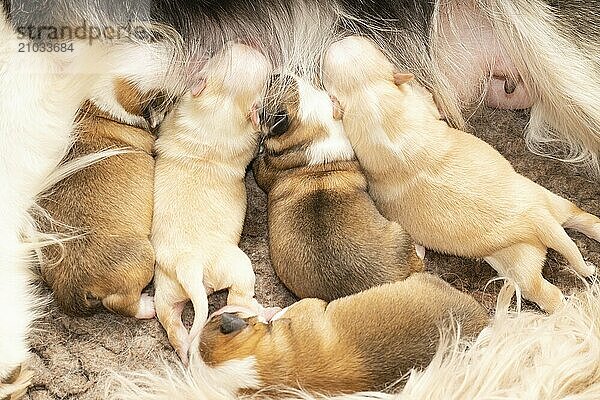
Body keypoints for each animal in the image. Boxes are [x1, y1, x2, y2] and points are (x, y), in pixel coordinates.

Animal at [152, 43, 272, 362]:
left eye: (219, 55)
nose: (244, 42)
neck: (221, 105)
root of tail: (189, 264)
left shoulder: (179, 112)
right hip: (237, 266)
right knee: (239, 295)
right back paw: (264, 310)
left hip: (166, 287)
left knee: (169, 317)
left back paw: (182, 346)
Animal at [324, 36, 600, 314]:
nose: (344, 39)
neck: (369, 95)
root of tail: (536, 220)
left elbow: (427, 101)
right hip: (540, 224)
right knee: (576, 227)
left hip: (530, 241)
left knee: (549, 289)